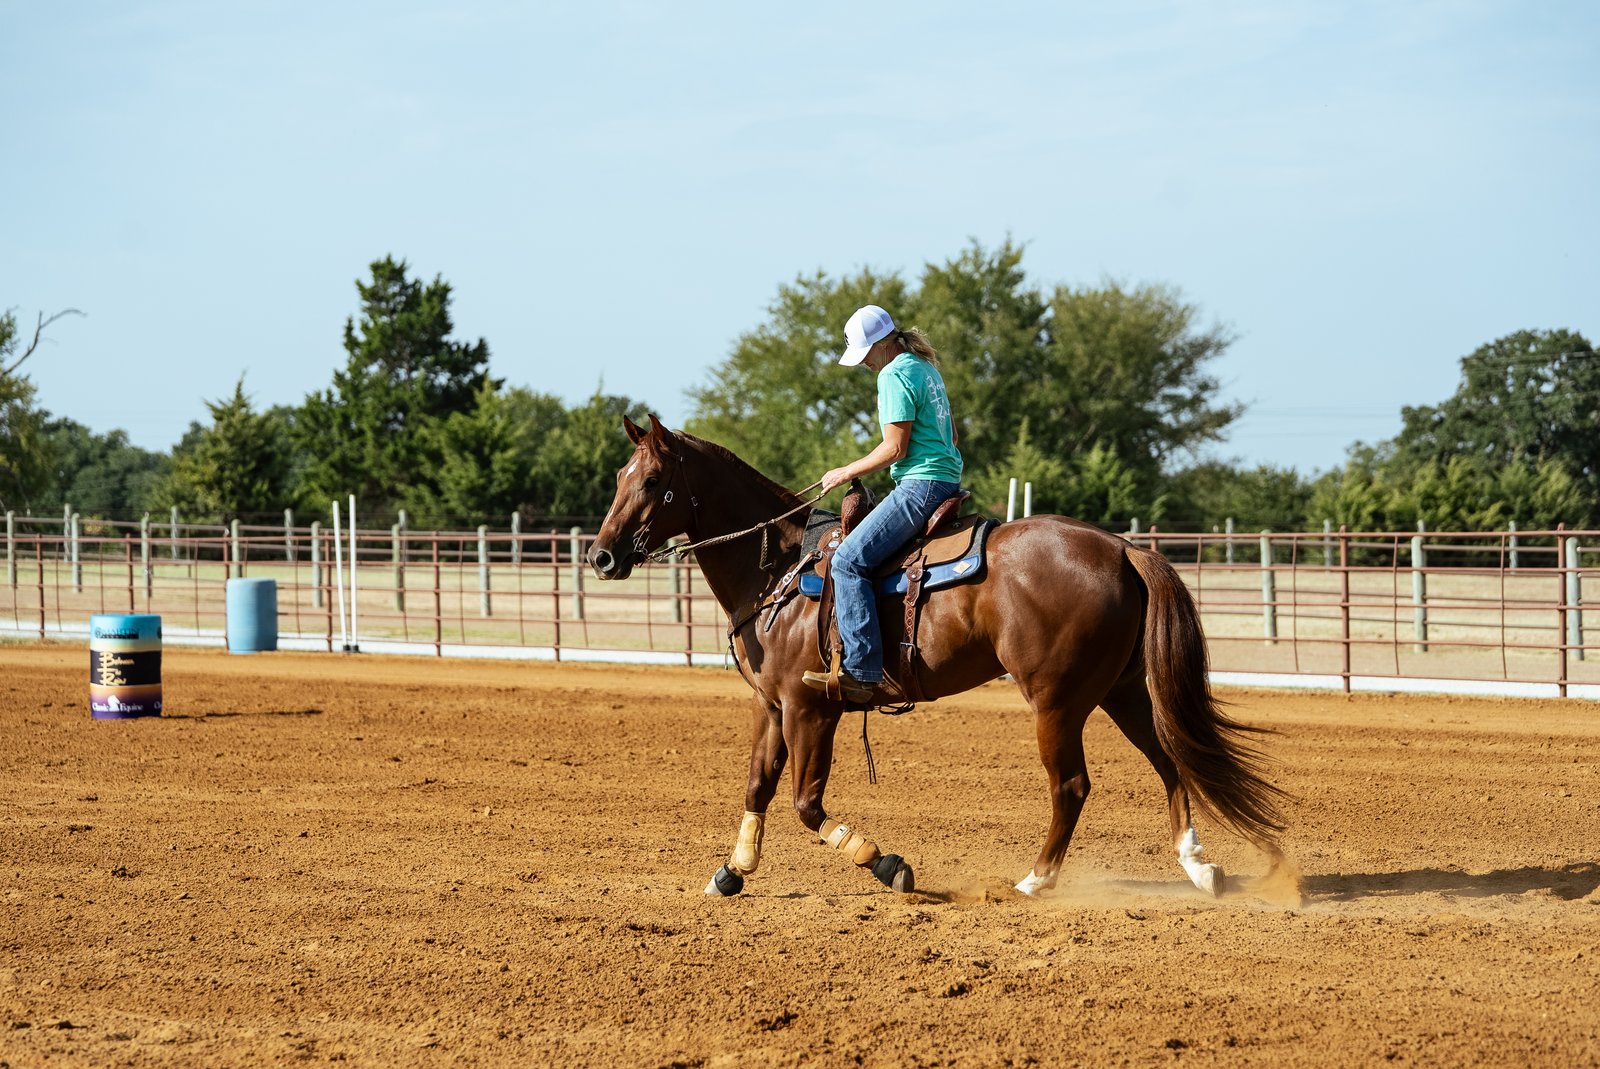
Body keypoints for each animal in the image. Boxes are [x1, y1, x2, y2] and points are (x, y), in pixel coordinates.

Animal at [588, 414, 1291, 899]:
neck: (780, 568)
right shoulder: (772, 704)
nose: (601, 556)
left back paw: (1033, 881)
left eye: (653, 480)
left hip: (1057, 701)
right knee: (1169, 761)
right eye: (620, 478)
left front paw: (888, 864)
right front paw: (732, 872)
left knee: (1071, 786)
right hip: (1122, 691)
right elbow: (758, 785)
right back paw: (1199, 868)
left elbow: (806, 803)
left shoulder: (811, 708)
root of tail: (1120, 548)